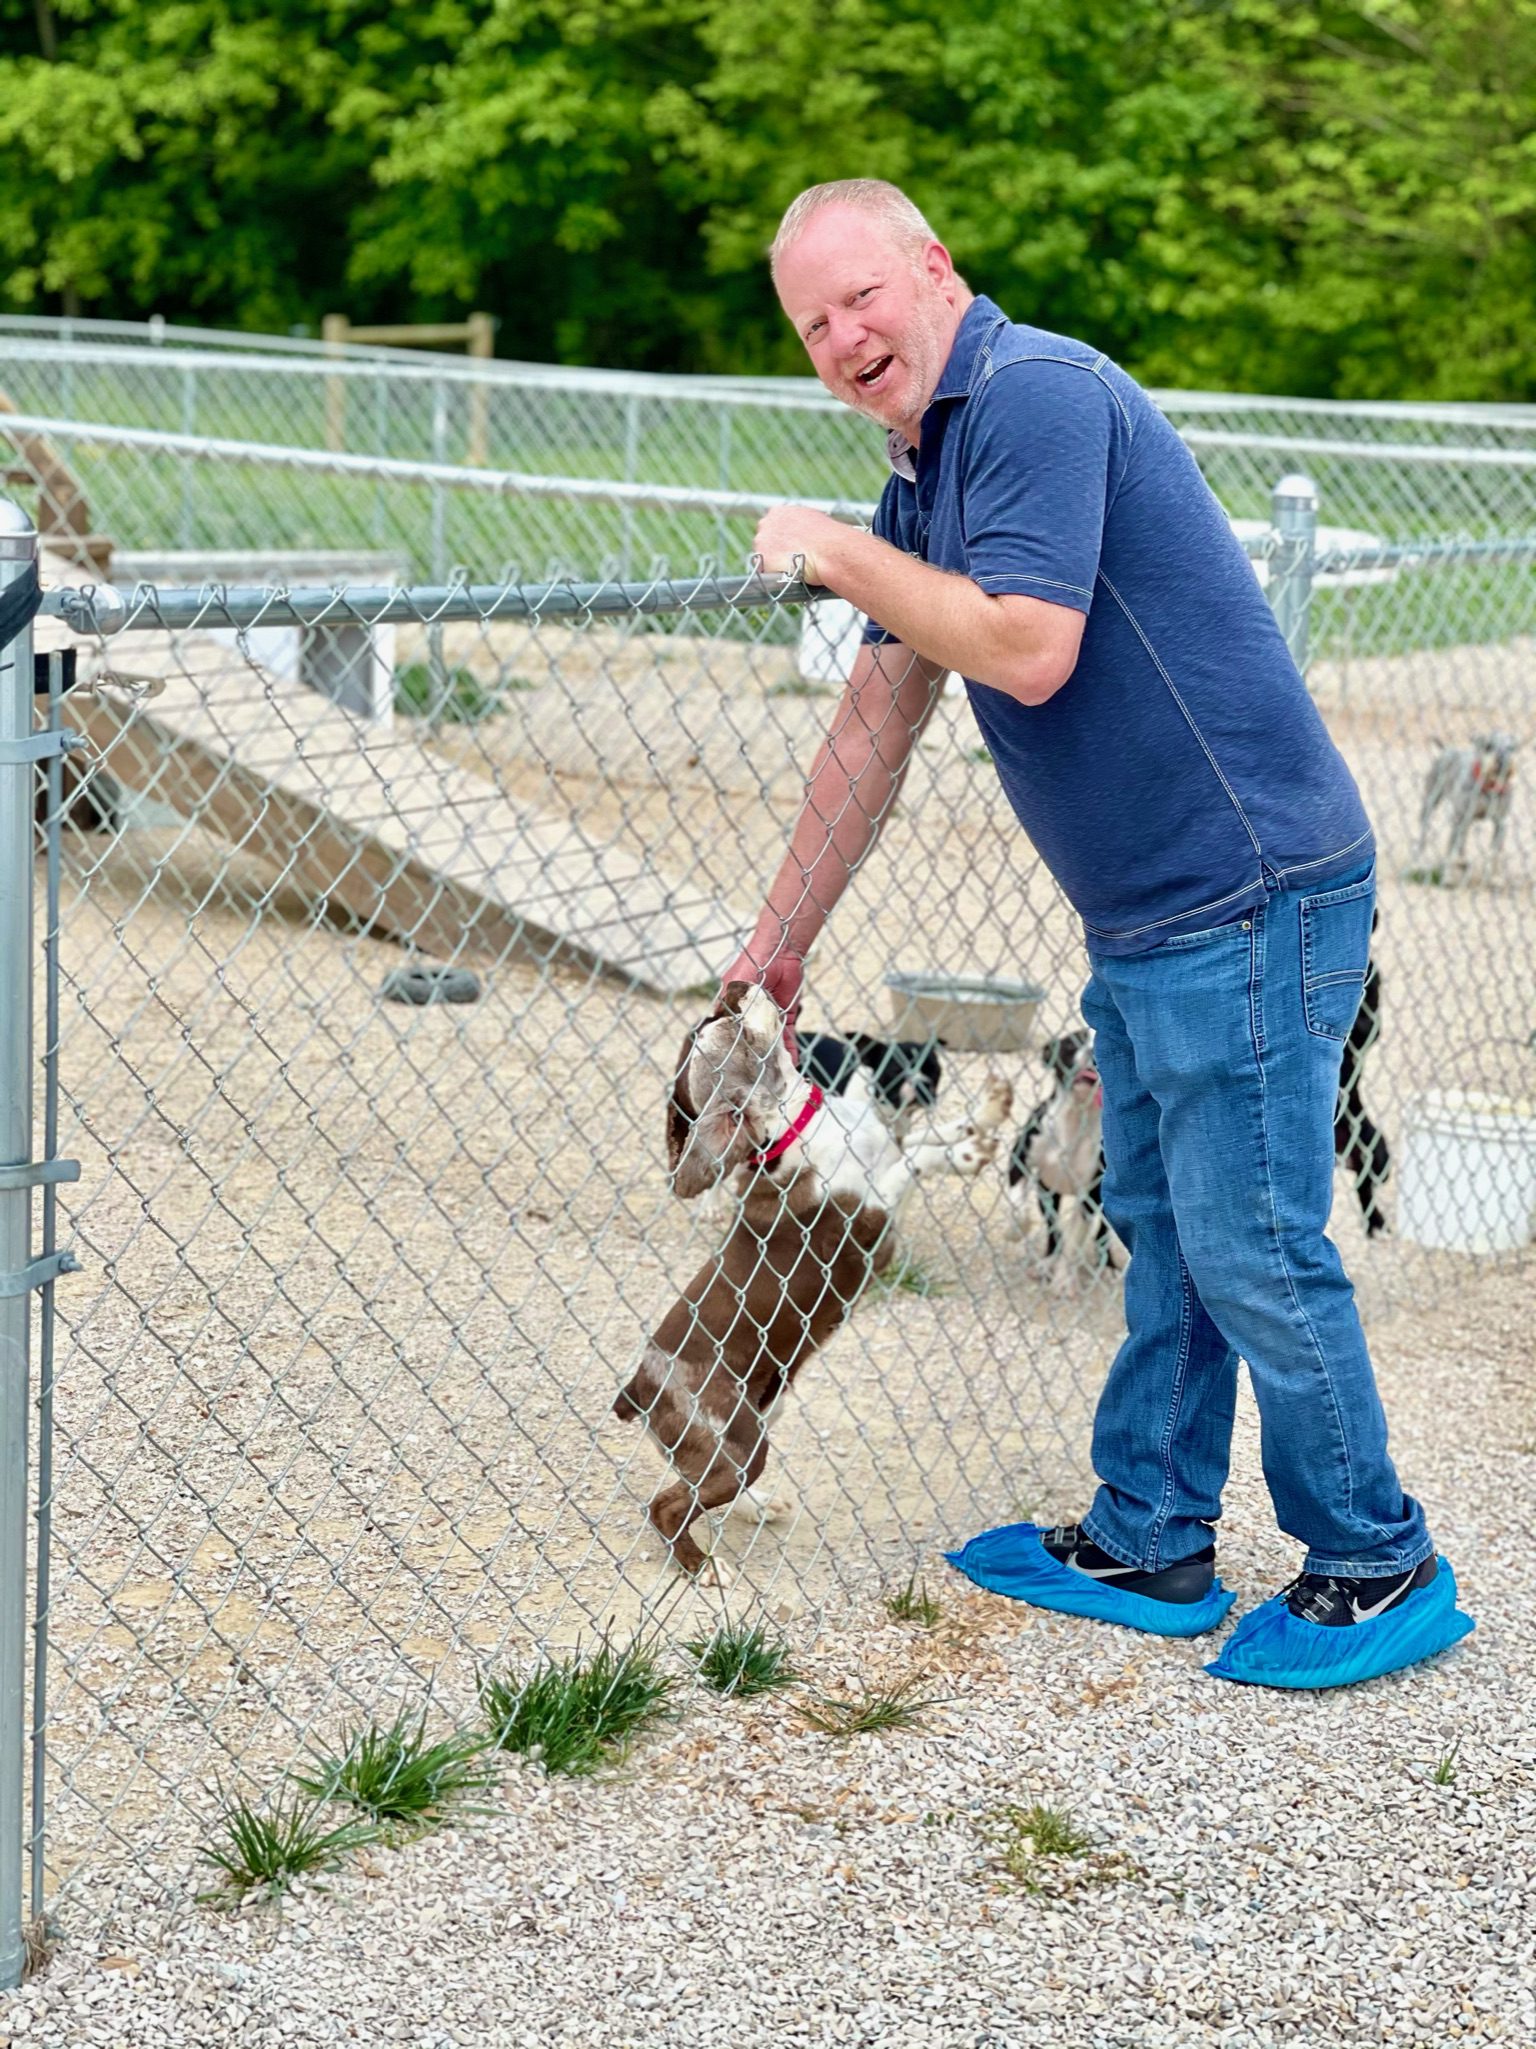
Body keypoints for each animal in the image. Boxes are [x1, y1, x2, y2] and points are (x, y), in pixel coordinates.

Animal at [614, 983, 1011, 1573]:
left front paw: (981, 1116)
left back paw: (755, 1507)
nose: (735, 987)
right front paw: (965, 1153)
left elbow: (922, 1134)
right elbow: (914, 1162)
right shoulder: (868, 1222)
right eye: (732, 1027)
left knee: (693, 1484)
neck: (798, 1120)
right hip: (738, 1441)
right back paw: (703, 1569)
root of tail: (639, 1385)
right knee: (666, 1506)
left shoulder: (885, 1141)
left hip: (755, 1420)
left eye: (715, 1019)